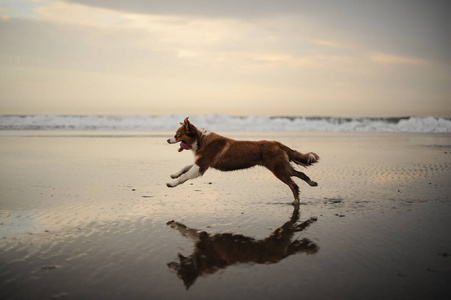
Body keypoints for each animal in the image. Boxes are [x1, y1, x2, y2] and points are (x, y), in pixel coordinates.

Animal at [167, 117, 322, 204]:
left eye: (177, 134)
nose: (168, 140)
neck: (199, 140)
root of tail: (276, 142)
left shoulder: (201, 166)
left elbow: (185, 176)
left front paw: (172, 183)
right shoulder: (201, 164)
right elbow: (184, 168)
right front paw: (174, 174)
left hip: (278, 170)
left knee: (293, 185)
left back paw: (296, 201)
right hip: (284, 167)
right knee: (300, 174)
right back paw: (312, 183)